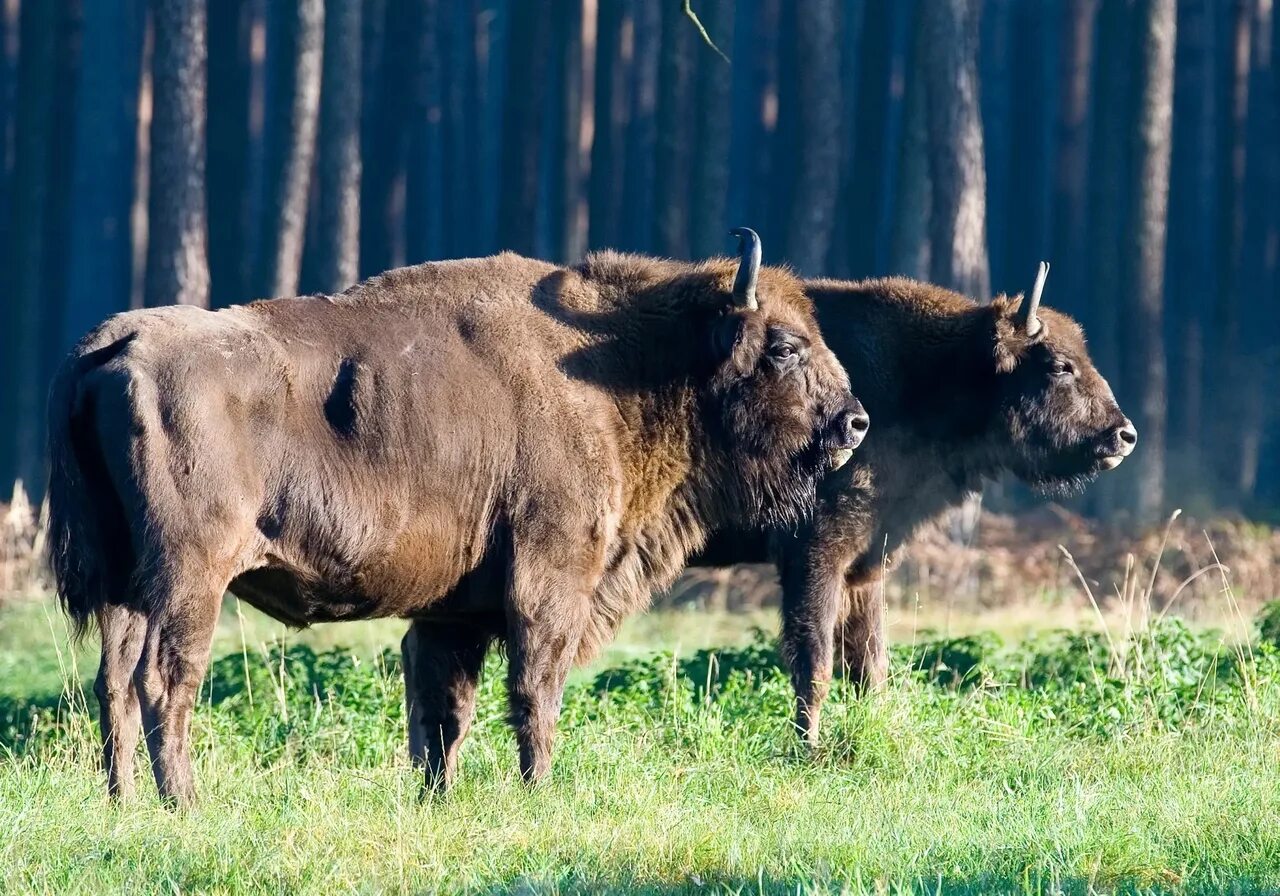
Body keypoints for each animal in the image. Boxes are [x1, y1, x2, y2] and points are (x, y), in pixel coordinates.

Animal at [47, 230, 867, 804]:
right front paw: (539, 792)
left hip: (125, 584)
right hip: (191, 578)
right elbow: (535, 691)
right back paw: (184, 803)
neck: (612, 370)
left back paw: (124, 803)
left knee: (114, 684)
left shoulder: (453, 613)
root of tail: (116, 343)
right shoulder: (550, 583)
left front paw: (436, 797)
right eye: (785, 348)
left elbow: (443, 709)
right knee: (165, 680)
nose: (854, 422)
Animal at [693, 263, 1137, 744]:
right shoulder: (816, 554)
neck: (924, 375)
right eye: (1059, 366)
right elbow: (816, 661)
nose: (1124, 435)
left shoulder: (865, 562)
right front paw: (808, 747)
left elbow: (870, 665)